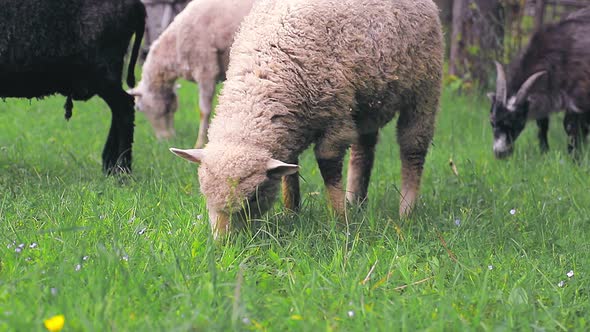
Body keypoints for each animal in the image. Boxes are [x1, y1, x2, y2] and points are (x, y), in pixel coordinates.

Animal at [0, 0, 147, 174]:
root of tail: (137, 5)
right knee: (119, 111)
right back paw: (109, 166)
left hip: (103, 70)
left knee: (124, 107)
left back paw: (122, 169)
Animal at [171, 0, 444, 239]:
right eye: (204, 194)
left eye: (253, 196)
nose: (223, 244)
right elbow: (289, 169)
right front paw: (292, 212)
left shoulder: (335, 119)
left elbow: (328, 165)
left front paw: (339, 222)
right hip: (367, 104)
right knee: (364, 150)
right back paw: (356, 201)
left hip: (424, 88)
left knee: (413, 148)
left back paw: (405, 211)